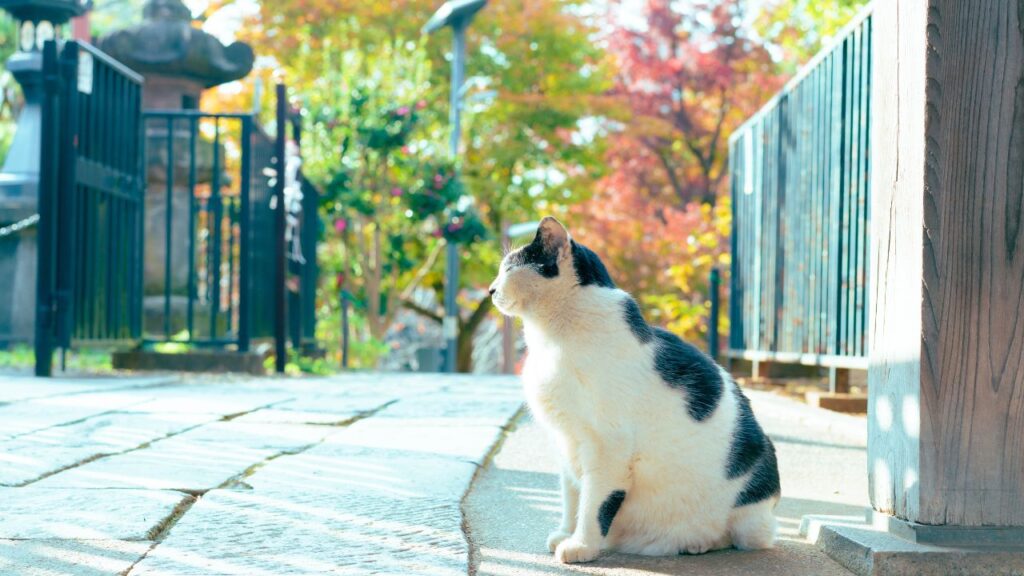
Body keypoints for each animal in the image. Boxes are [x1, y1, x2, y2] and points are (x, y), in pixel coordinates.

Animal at [487, 215, 774, 561]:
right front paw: (566, 533)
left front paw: (582, 546)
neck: (552, 339)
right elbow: (572, 495)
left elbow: (594, 504)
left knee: (740, 537)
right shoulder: (566, 441)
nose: (490, 290)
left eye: (508, 268)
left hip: (752, 506)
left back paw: (699, 542)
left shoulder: (607, 445)